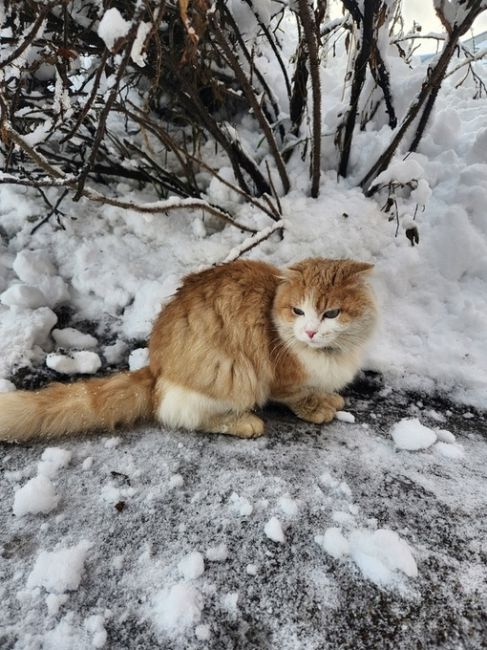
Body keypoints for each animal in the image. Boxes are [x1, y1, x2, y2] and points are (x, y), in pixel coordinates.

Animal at [0, 256, 378, 442]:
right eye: (298, 311)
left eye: (331, 314)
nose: (311, 331)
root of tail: (156, 367)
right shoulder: (281, 379)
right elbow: (298, 397)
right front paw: (317, 407)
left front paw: (329, 398)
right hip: (232, 375)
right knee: (184, 416)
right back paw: (244, 423)